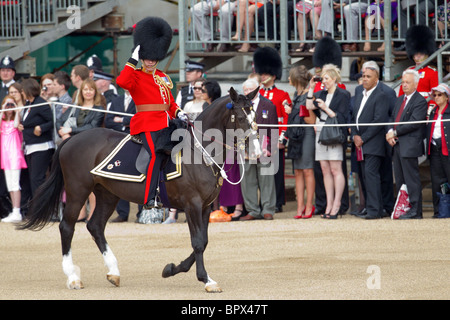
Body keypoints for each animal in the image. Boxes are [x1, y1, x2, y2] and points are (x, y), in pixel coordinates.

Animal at [19, 86, 262, 292]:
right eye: (241, 117)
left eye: (255, 117)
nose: (258, 152)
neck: (200, 153)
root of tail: (71, 140)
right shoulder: (192, 204)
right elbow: (198, 242)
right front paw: (206, 280)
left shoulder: (205, 206)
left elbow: (203, 241)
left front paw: (171, 269)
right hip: (78, 191)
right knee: (67, 227)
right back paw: (73, 277)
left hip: (107, 194)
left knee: (95, 226)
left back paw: (113, 272)